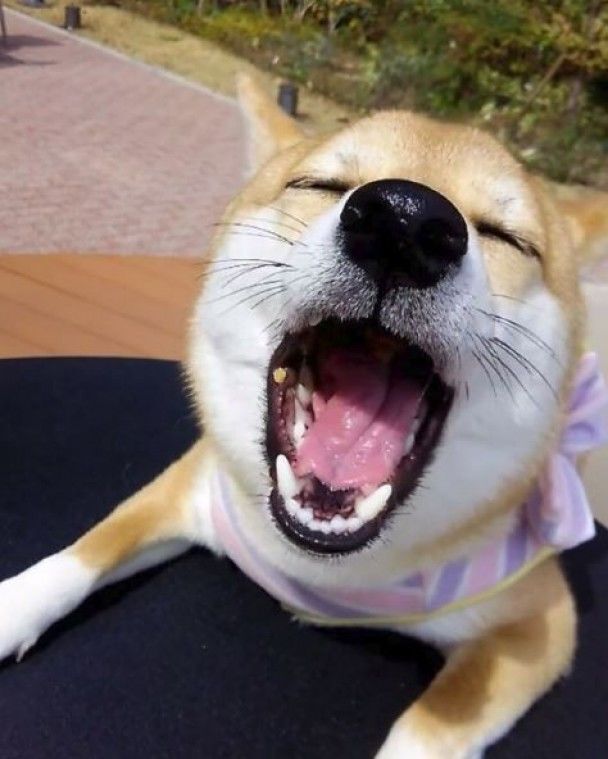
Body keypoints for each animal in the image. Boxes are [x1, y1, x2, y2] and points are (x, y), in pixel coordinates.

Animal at [1, 75, 608, 758]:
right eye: (319, 185)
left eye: (507, 237)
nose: (405, 220)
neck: (318, 567)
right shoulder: (194, 483)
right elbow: (82, 555)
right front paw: (11, 607)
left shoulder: (537, 624)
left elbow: (428, 728)